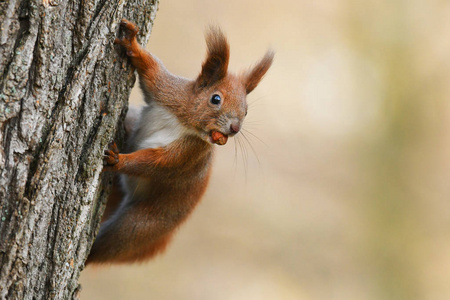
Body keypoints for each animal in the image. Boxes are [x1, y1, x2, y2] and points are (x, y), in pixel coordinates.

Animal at [86, 18, 272, 264]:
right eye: (216, 99)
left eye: (247, 111)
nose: (234, 128)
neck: (185, 122)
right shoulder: (167, 91)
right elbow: (151, 69)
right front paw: (131, 43)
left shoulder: (190, 153)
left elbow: (156, 162)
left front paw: (118, 161)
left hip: (141, 225)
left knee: (107, 247)